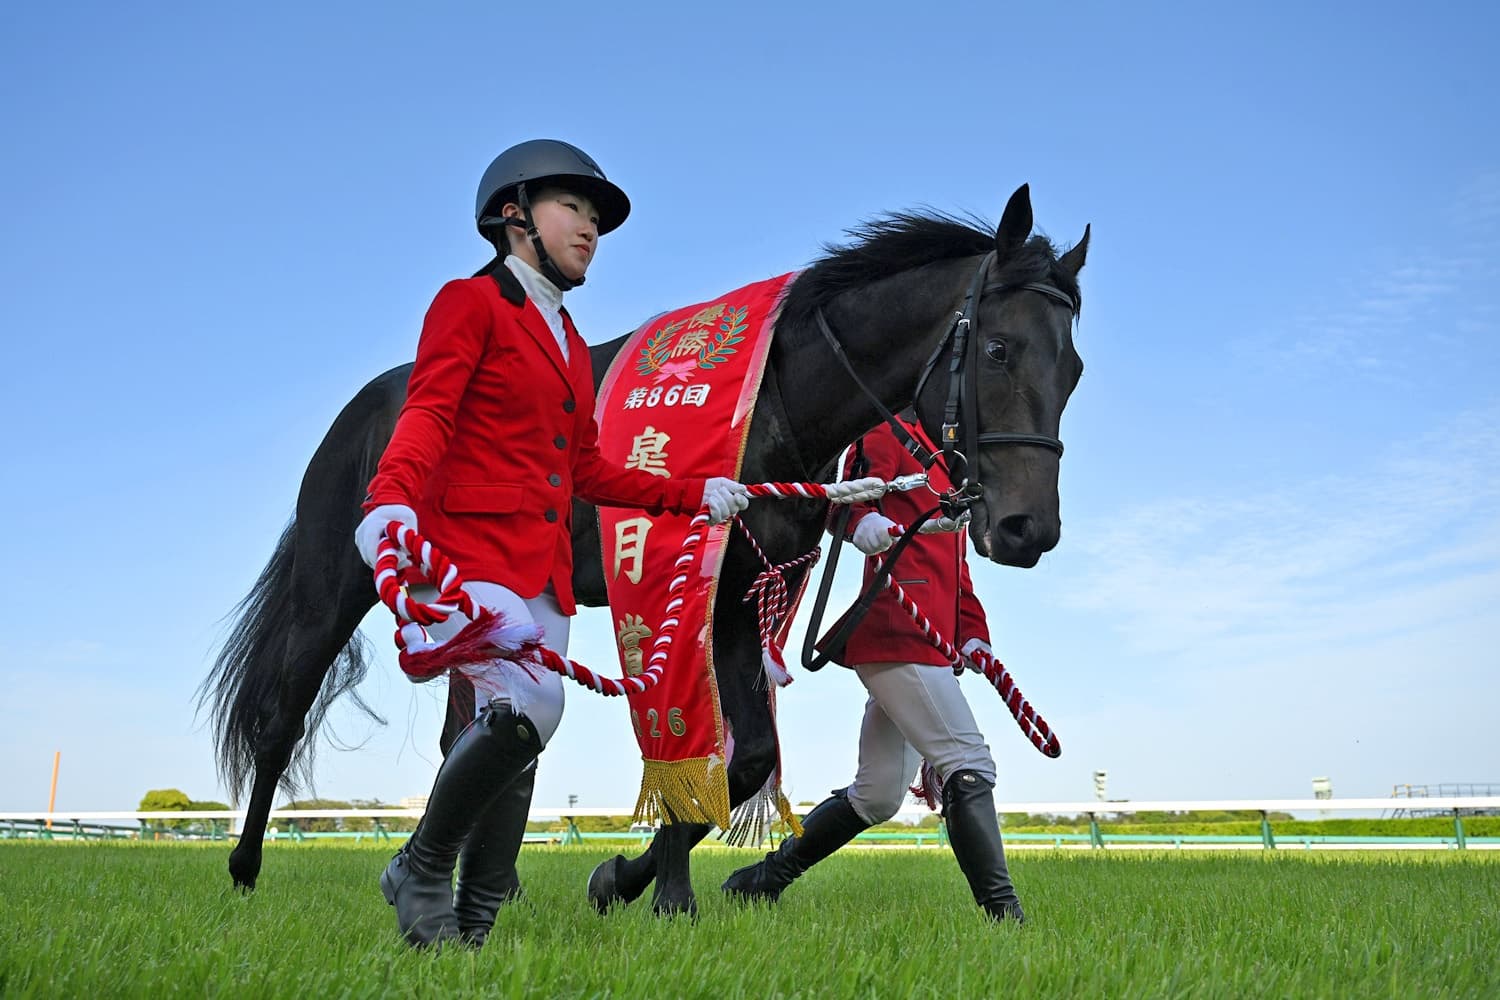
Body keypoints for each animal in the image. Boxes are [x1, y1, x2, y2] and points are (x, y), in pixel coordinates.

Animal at [198, 183, 1088, 916]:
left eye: (1074, 365)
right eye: (999, 350)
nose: (1028, 530)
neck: (773, 403)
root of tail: (366, 406)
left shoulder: (745, 595)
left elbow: (741, 757)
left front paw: (647, 886)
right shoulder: (702, 593)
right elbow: (713, 751)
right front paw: (641, 886)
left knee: (469, 735)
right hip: (334, 585)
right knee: (281, 719)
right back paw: (244, 872)